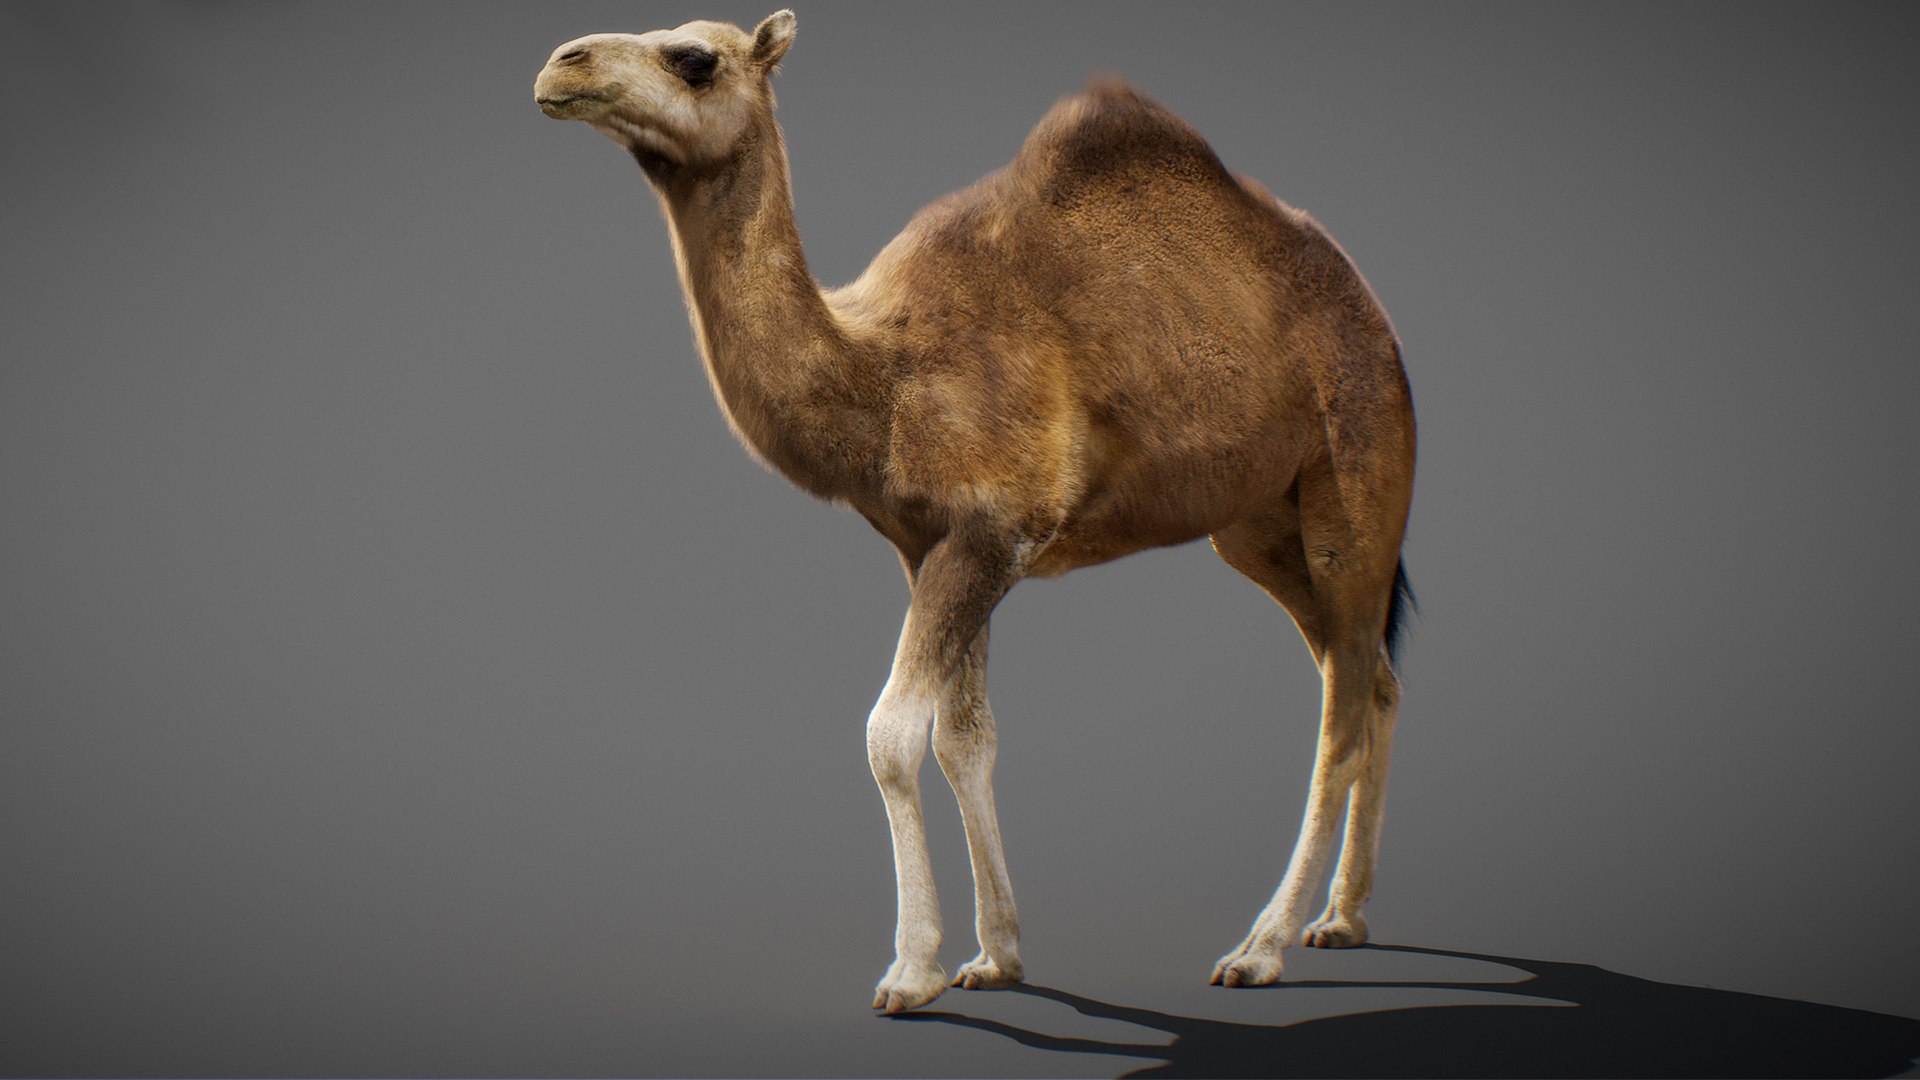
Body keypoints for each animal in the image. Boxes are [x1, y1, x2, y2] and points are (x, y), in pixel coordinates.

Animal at [534, 11, 1416, 1014]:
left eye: (694, 58)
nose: (561, 65)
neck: (880, 374)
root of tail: (1374, 313)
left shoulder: (994, 533)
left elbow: (890, 735)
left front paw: (912, 969)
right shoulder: (931, 545)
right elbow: (966, 739)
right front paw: (996, 957)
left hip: (1358, 467)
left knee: (1340, 707)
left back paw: (1261, 948)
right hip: (1260, 524)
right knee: (1368, 675)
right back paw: (1343, 917)